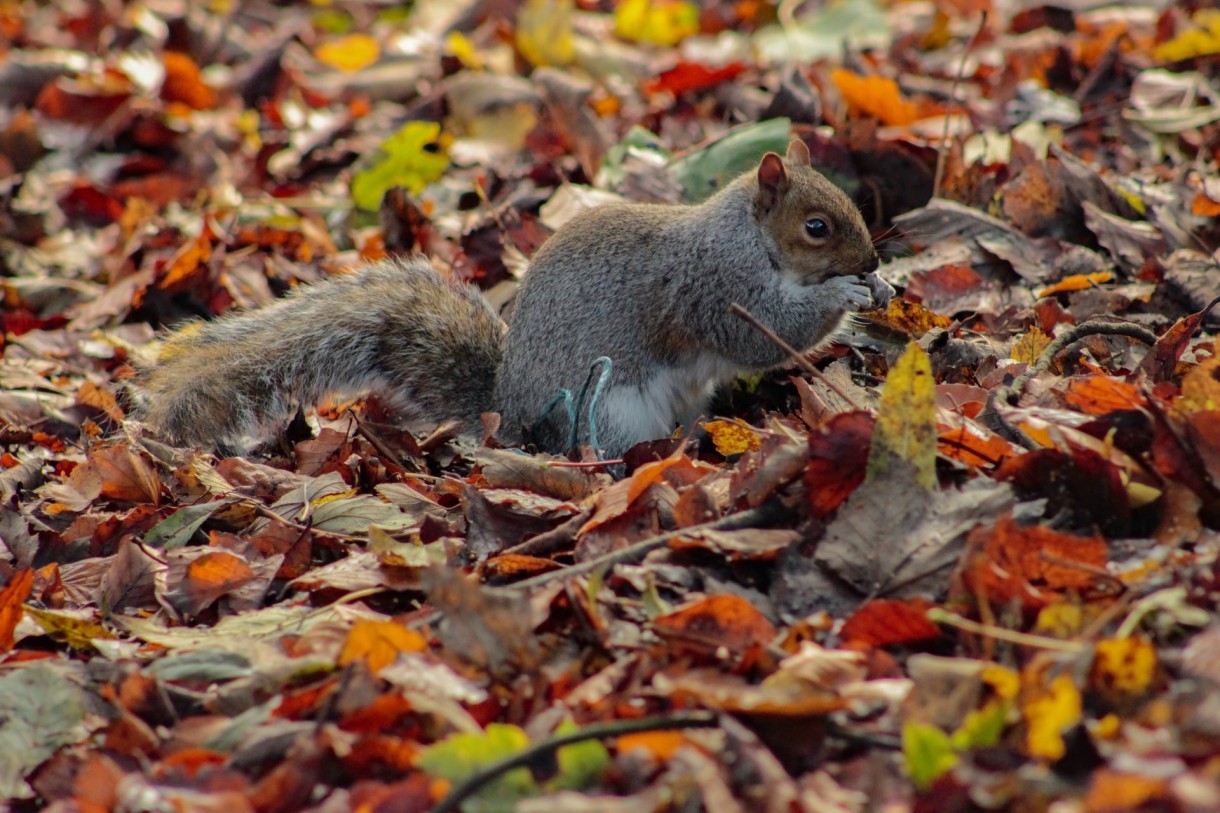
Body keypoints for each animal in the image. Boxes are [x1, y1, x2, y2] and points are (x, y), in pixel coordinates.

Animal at [136, 139, 897, 456]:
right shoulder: (715, 288)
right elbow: (766, 332)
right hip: (610, 410)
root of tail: (512, 412)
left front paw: (884, 282)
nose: (870, 258)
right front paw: (846, 292)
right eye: (817, 227)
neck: (746, 239)